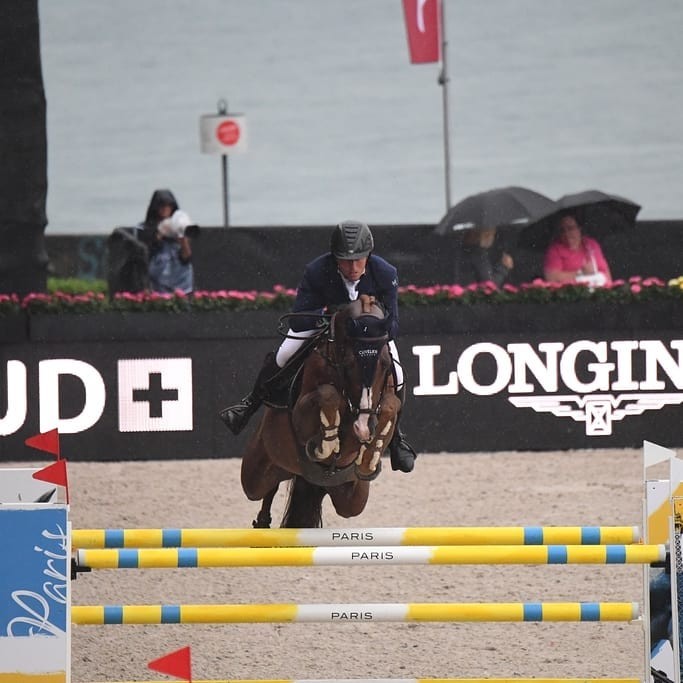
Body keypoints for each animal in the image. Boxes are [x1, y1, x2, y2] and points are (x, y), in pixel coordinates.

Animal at [239, 296, 400, 528]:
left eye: (386, 363)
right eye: (349, 362)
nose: (363, 428)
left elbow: (391, 405)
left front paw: (370, 455)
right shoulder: (300, 416)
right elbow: (328, 394)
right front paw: (326, 444)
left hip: (352, 498)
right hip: (257, 470)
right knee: (264, 488)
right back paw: (262, 522)